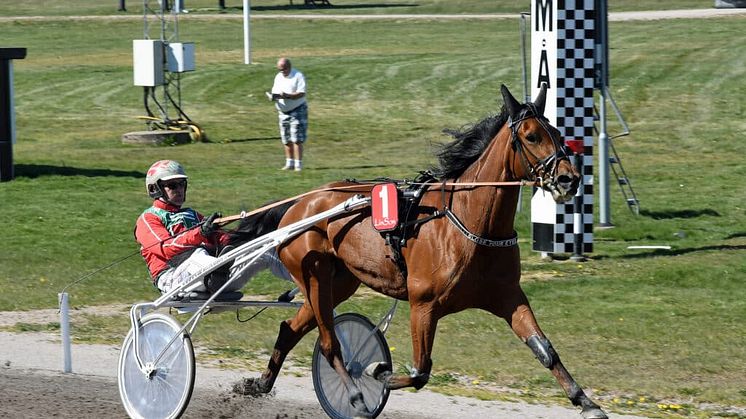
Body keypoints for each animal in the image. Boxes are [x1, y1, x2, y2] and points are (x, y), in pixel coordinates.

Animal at [231, 85, 604, 419]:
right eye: (531, 136)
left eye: (557, 132)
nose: (570, 179)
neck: (470, 223)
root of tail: (299, 203)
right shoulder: (423, 304)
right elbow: (420, 370)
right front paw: (378, 372)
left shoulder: (508, 296)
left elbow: (545, 349)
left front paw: (586, 402)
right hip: (313, 274)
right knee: (328, 342)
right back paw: (354, 395)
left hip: (337, 283)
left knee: (290, 329)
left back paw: (258, 385)